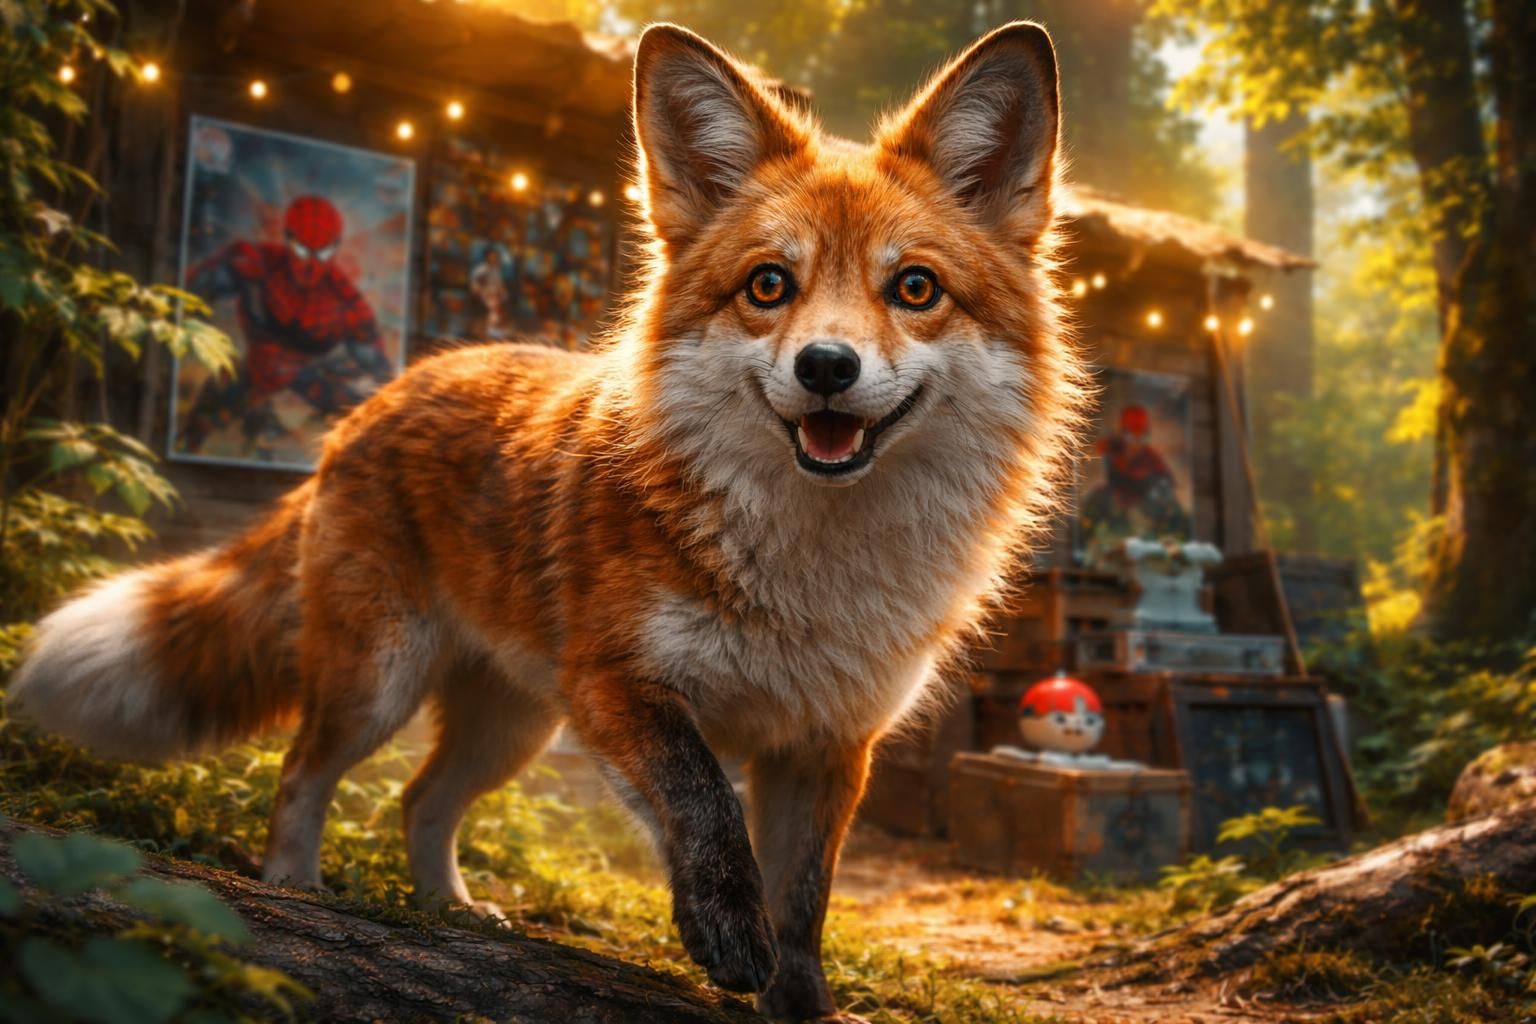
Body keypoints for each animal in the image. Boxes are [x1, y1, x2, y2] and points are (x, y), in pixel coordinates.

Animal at [10, 21, 1086, 1023]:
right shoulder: (617, 684)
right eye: (768, 285)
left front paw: (799, 1000)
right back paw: (298, 895)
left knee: (420, 799)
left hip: (512, 724)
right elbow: (703, 805)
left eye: (915, 288)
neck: (812, 570)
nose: (826, 366)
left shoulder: (825, 743)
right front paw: (721, 931)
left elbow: (805, 909)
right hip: (382, 683)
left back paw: (447, 912)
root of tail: (388, 393)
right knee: (302, 772)